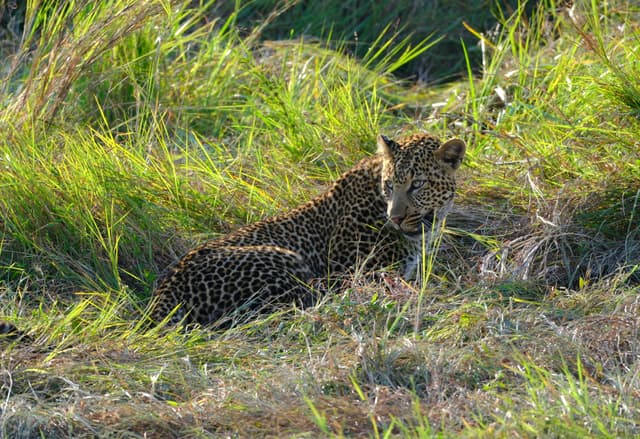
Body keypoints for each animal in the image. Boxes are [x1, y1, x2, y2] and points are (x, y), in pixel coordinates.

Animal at [148, 132, 465, 328]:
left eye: (417, 184)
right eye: (389, 185)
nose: (395, 218)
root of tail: (161, 299)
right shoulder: (354, 272)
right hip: (285, 261)